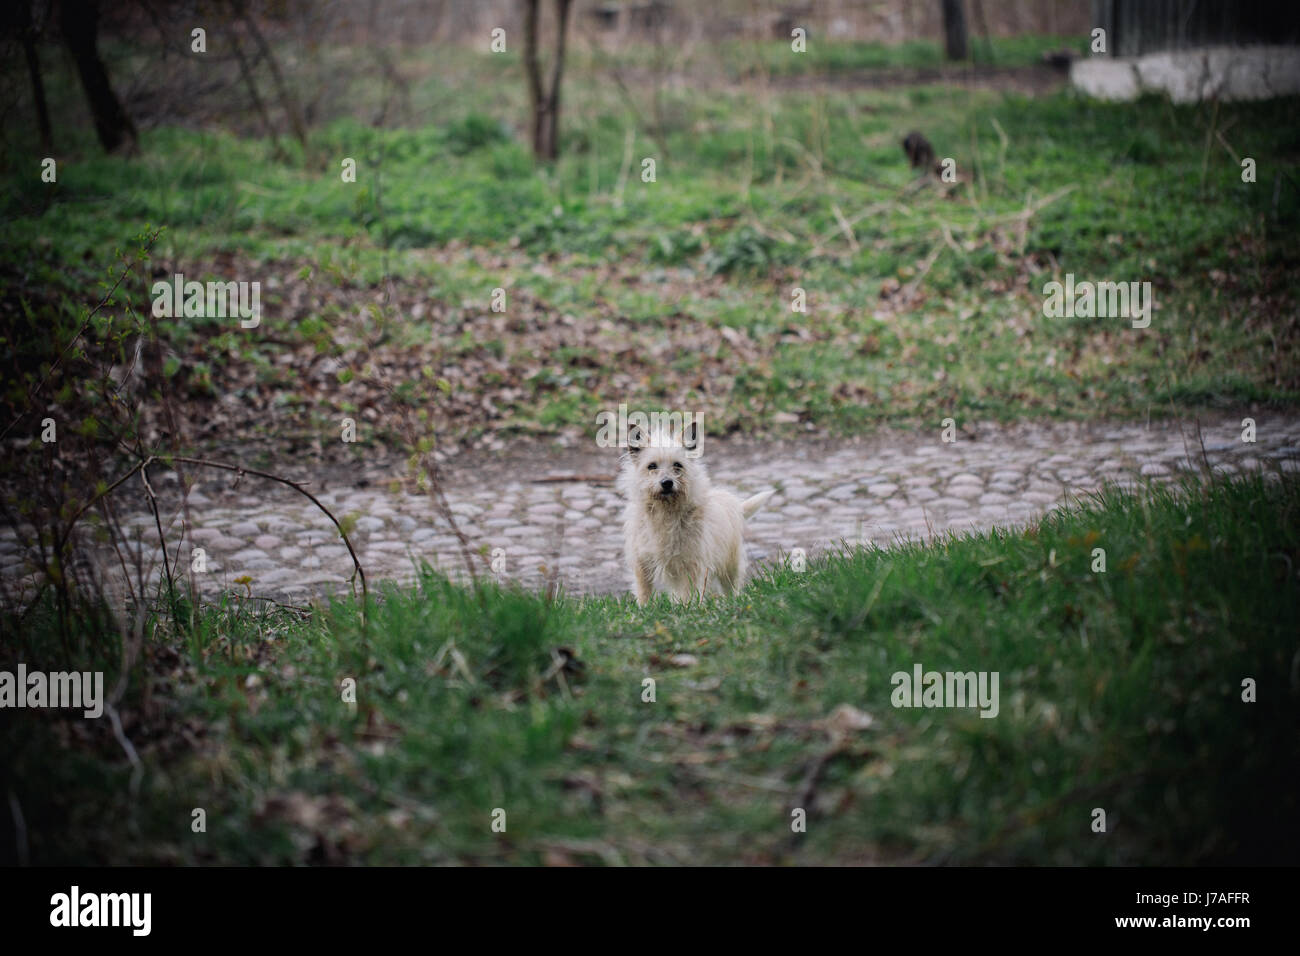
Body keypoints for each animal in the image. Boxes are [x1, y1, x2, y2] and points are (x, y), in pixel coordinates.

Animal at [618, 421, 769, 606]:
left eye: (677, 465)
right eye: (651, 466)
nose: (667, 483)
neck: (666, 511)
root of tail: (734, 503)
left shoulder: (691, 565)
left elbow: (688, 593)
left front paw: (687, 608)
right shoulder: (642, 564)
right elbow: (644, 592)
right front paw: (644, 608)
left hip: (729, 566)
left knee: (731, 588)